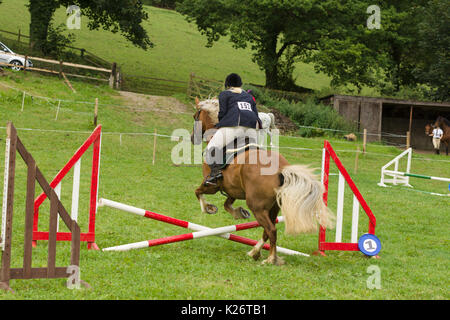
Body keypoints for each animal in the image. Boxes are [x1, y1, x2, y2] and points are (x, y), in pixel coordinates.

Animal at [190, 97, 334, 264]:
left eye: (195, 116)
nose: (193, 138)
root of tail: (281, 169)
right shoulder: (233, 189)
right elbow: (227, 204)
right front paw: (239, 213)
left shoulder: (212, 185)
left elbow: (198, 192)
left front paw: (208, 208)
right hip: (273, 207)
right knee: (267, 230)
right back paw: (255, 252)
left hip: (257, 206)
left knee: (271, 229)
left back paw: (270, 259)